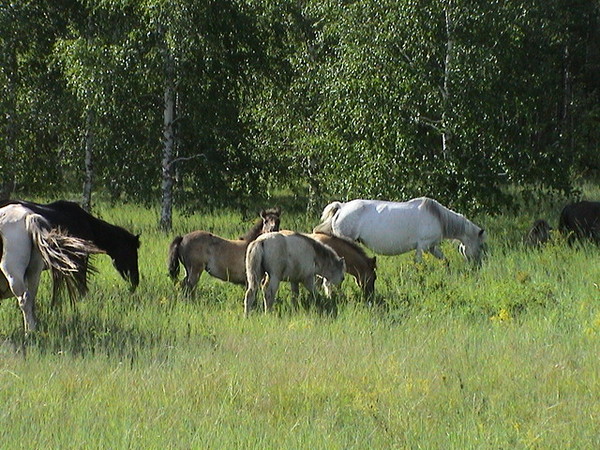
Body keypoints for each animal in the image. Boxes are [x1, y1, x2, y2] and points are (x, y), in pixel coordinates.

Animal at [314, 198, 488, 264]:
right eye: (480, 246)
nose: (477, 265)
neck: (438, 217)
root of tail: (341, 207)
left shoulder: (432, 247)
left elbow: (445, 261)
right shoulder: (423, 246)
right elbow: (418, 263)